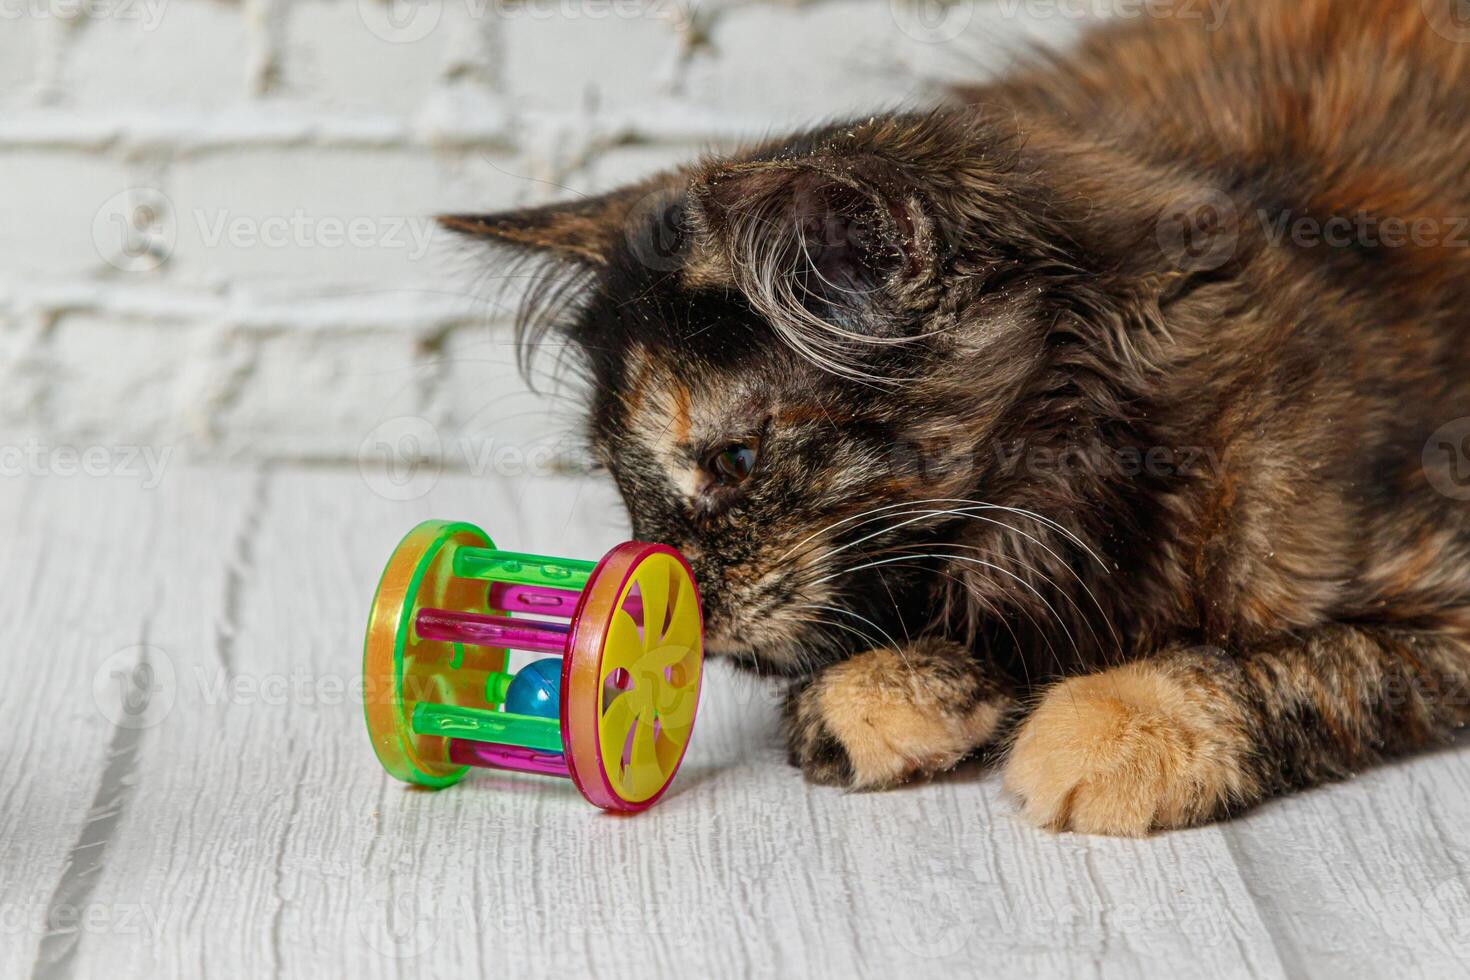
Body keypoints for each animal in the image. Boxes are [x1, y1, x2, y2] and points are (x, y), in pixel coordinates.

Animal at [441, 0, 1470, 840]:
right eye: (623, 486)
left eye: (732, 460)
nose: (682, 597)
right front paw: (883, 693)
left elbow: (1300, 668)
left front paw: (1123, 733)